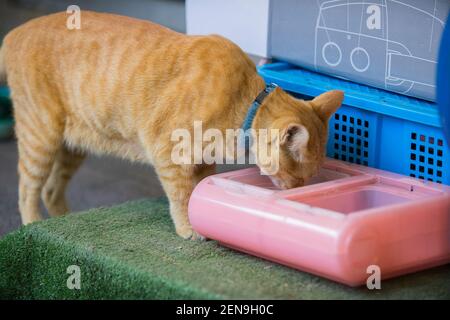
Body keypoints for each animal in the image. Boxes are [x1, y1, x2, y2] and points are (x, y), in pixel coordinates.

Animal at [0, 11, 342, 239]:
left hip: (73, 146)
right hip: (40, 137)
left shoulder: (202, 162)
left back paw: (59, 224)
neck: (244, 103)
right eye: (301, 177)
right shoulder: (167, 152)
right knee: (27, 189)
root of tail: (15, 31)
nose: (296, 192)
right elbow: (181, 196)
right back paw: (34, 224)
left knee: (51, 190)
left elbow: (195, 193)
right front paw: (188, 228)